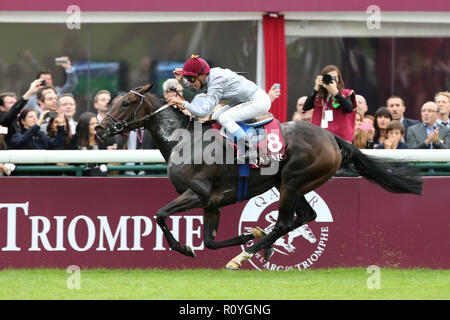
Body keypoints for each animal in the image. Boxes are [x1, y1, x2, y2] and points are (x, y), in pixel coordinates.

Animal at [95, 84, 422, 268]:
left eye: (126, 103)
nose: (99, 129)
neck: (185, 141)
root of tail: (332, 137)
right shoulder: (212, 204)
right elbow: (209, 242)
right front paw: (249, 234)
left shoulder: (197, 194)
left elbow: (161, 215)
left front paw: (186, 248)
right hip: (295, 185)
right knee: (305, 216)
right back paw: (259, 247)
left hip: (292, 181)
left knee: (285, 222)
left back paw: (247, 254)